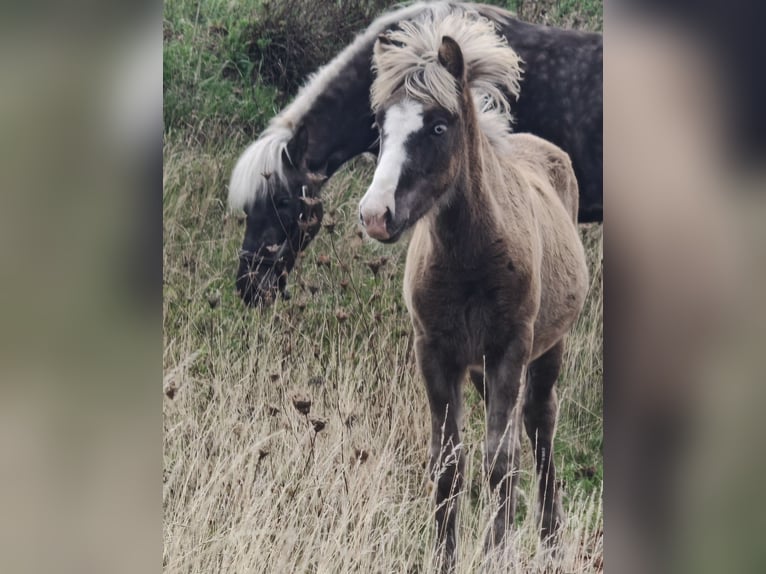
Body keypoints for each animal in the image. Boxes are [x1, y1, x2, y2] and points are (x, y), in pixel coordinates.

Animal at [358, 13, 589, 569]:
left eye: (439, 126)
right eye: (381, 126)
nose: (375, 215)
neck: (470, 259)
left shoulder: (509, 349)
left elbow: (499, 457)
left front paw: (495, 554)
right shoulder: (436, 352)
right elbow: (448, 461)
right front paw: (444, 557)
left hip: (545, 351)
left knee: (540, 427)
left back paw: (550, 541)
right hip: (481, 368)